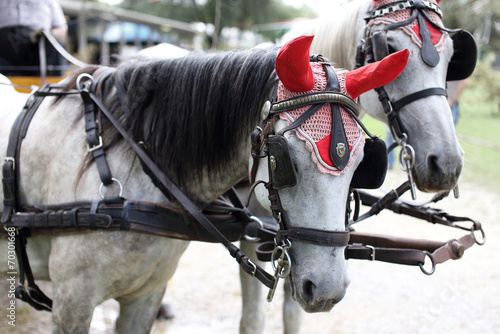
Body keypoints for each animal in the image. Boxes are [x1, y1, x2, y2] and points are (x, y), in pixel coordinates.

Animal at [0, 35, 406, 332]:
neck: (131, 162)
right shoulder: (73, 301)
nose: (326, 288)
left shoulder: (146, 294)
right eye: (283, 159)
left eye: (363, 162)